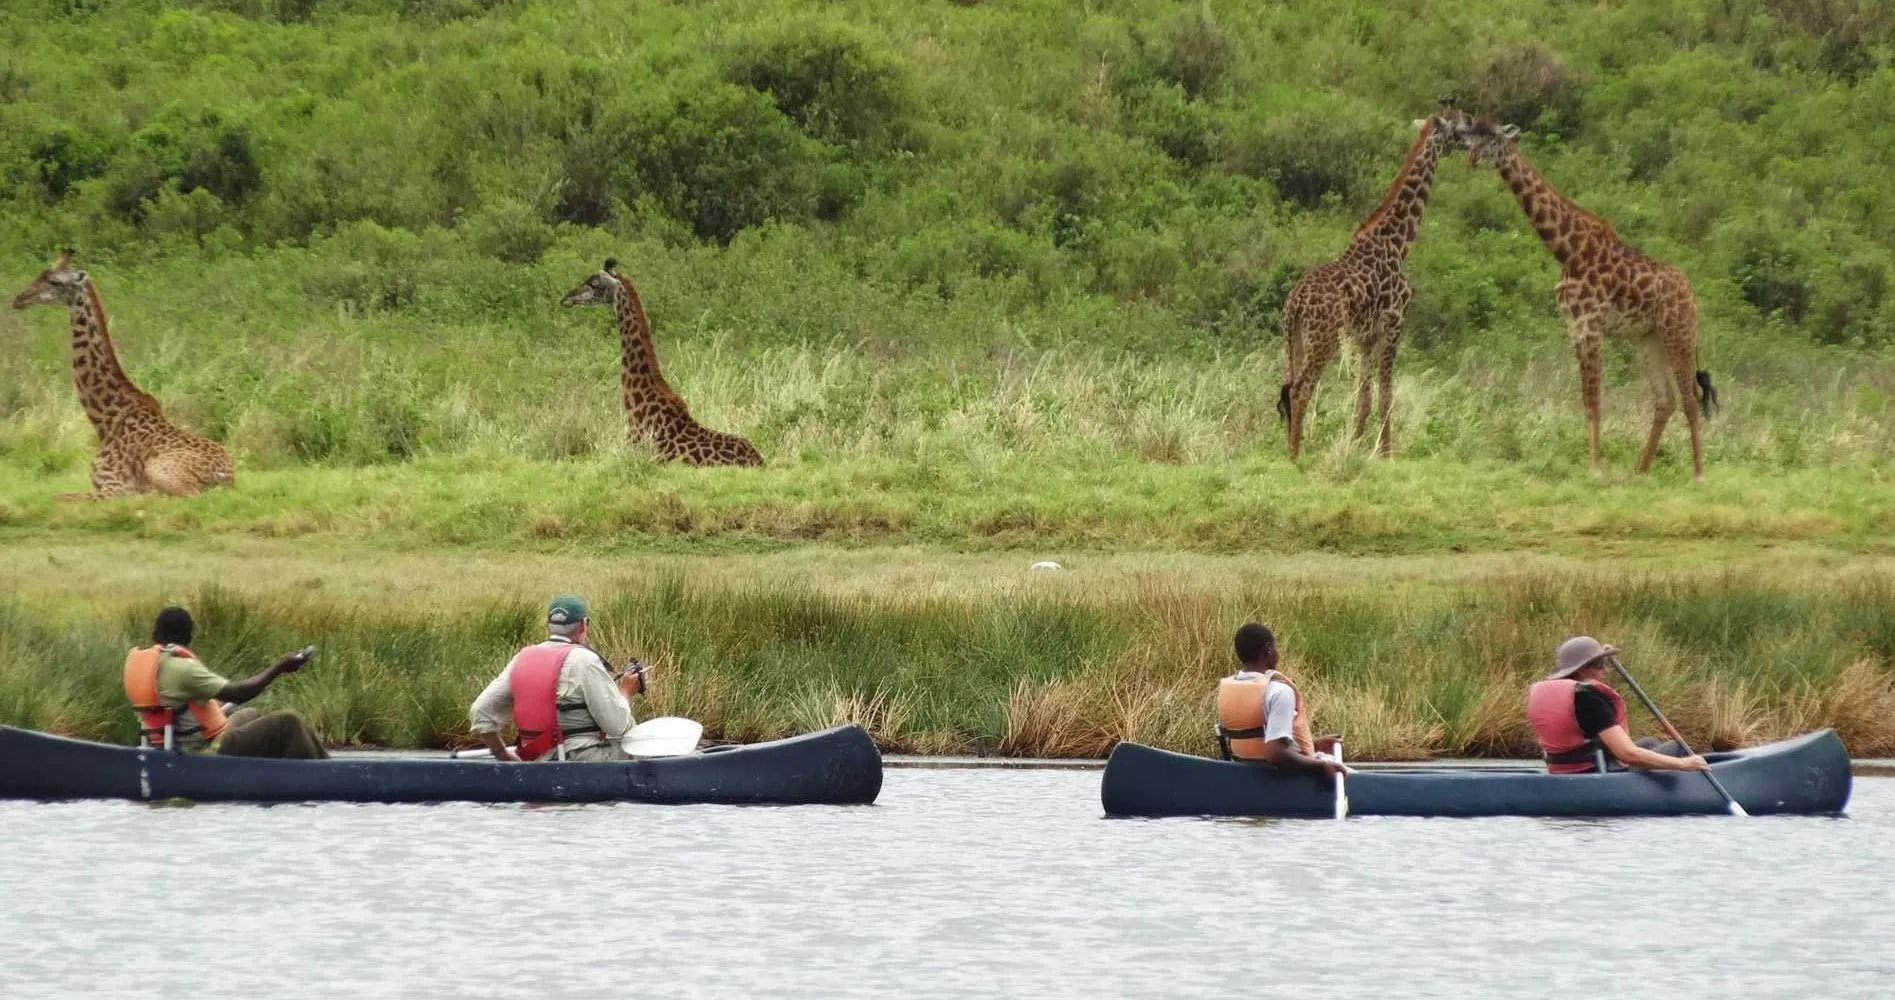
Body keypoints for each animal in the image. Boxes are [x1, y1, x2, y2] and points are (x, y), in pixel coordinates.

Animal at [9, 250, 234, 500]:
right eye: (41, 274)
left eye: (55, 281)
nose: (19, 298)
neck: (105, 422)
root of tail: (229, 476)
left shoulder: (115, 487)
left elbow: (57, 498)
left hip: (163, 471)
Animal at [1281, 114, 1455, 460]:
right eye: (1456, 128)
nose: (1462, 143)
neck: (1398, 242)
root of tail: (1296, 302)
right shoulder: (1393, 324)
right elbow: (1386, 395)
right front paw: (1386, 454)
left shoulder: (1364, 337)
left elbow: (1363, 398)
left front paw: (1355, 448)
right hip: (1324, 338)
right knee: (1301, 388)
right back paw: (1296, 456)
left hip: (1294, 336)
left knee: (1288, 385)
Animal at [1447, 118, 1720, 481]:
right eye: (1472, 133)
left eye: (1492, 137)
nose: (1471, 157)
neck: (1566, 248)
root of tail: (1692, 295)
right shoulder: (1575, 325)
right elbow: (1586, 398)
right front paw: (1597, 466)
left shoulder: (1589, 324)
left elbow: (1593, 399)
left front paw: (1594, 468)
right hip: (1649, 338)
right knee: (1665, 400)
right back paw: (1640, 471)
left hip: (1679, 333)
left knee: (1690, 398)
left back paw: (1699, 474)